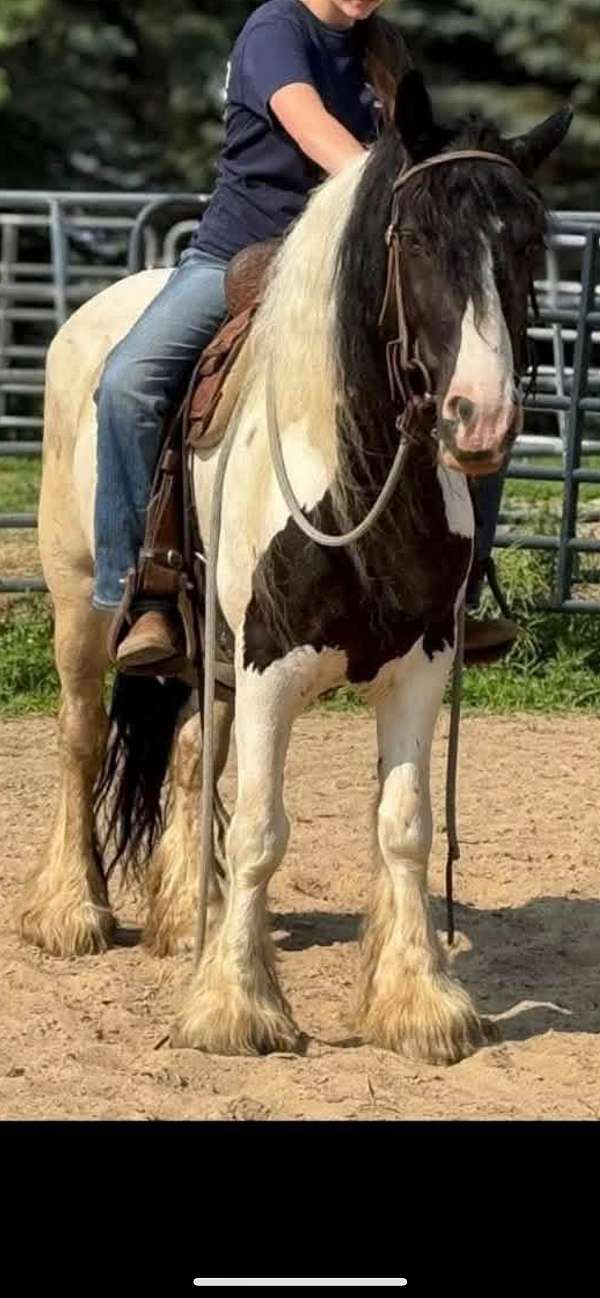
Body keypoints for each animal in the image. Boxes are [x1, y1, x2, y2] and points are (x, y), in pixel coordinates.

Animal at [17, 70, 571, 1063]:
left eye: (529, 240)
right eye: (416, 236)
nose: (481, 415)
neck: (352, 481)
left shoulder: (420, 664)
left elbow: (404, 826)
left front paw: (418, 1003)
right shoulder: (270, 665)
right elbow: (264, 830)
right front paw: (237, 1006)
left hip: (207, 646)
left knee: (192, 752)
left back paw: (177, 915)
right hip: (82, 602)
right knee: (81, 734)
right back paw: (73, 912)